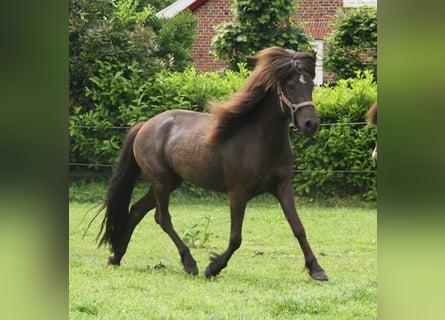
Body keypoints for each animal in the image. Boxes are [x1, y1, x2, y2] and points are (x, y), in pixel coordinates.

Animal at [96, 46, 326, 282]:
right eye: (290, 85)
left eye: (310, 85)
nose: (311, 124)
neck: (259, 141)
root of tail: (145, 125)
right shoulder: (238, 193)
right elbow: (236, 238)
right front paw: (214, 267)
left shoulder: (282, 186)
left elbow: (298, 228)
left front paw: (316, 269)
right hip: (161, 182)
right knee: (162, 217)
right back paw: (189, 263)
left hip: (169, 182)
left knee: (136, 210)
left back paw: (116, 256)